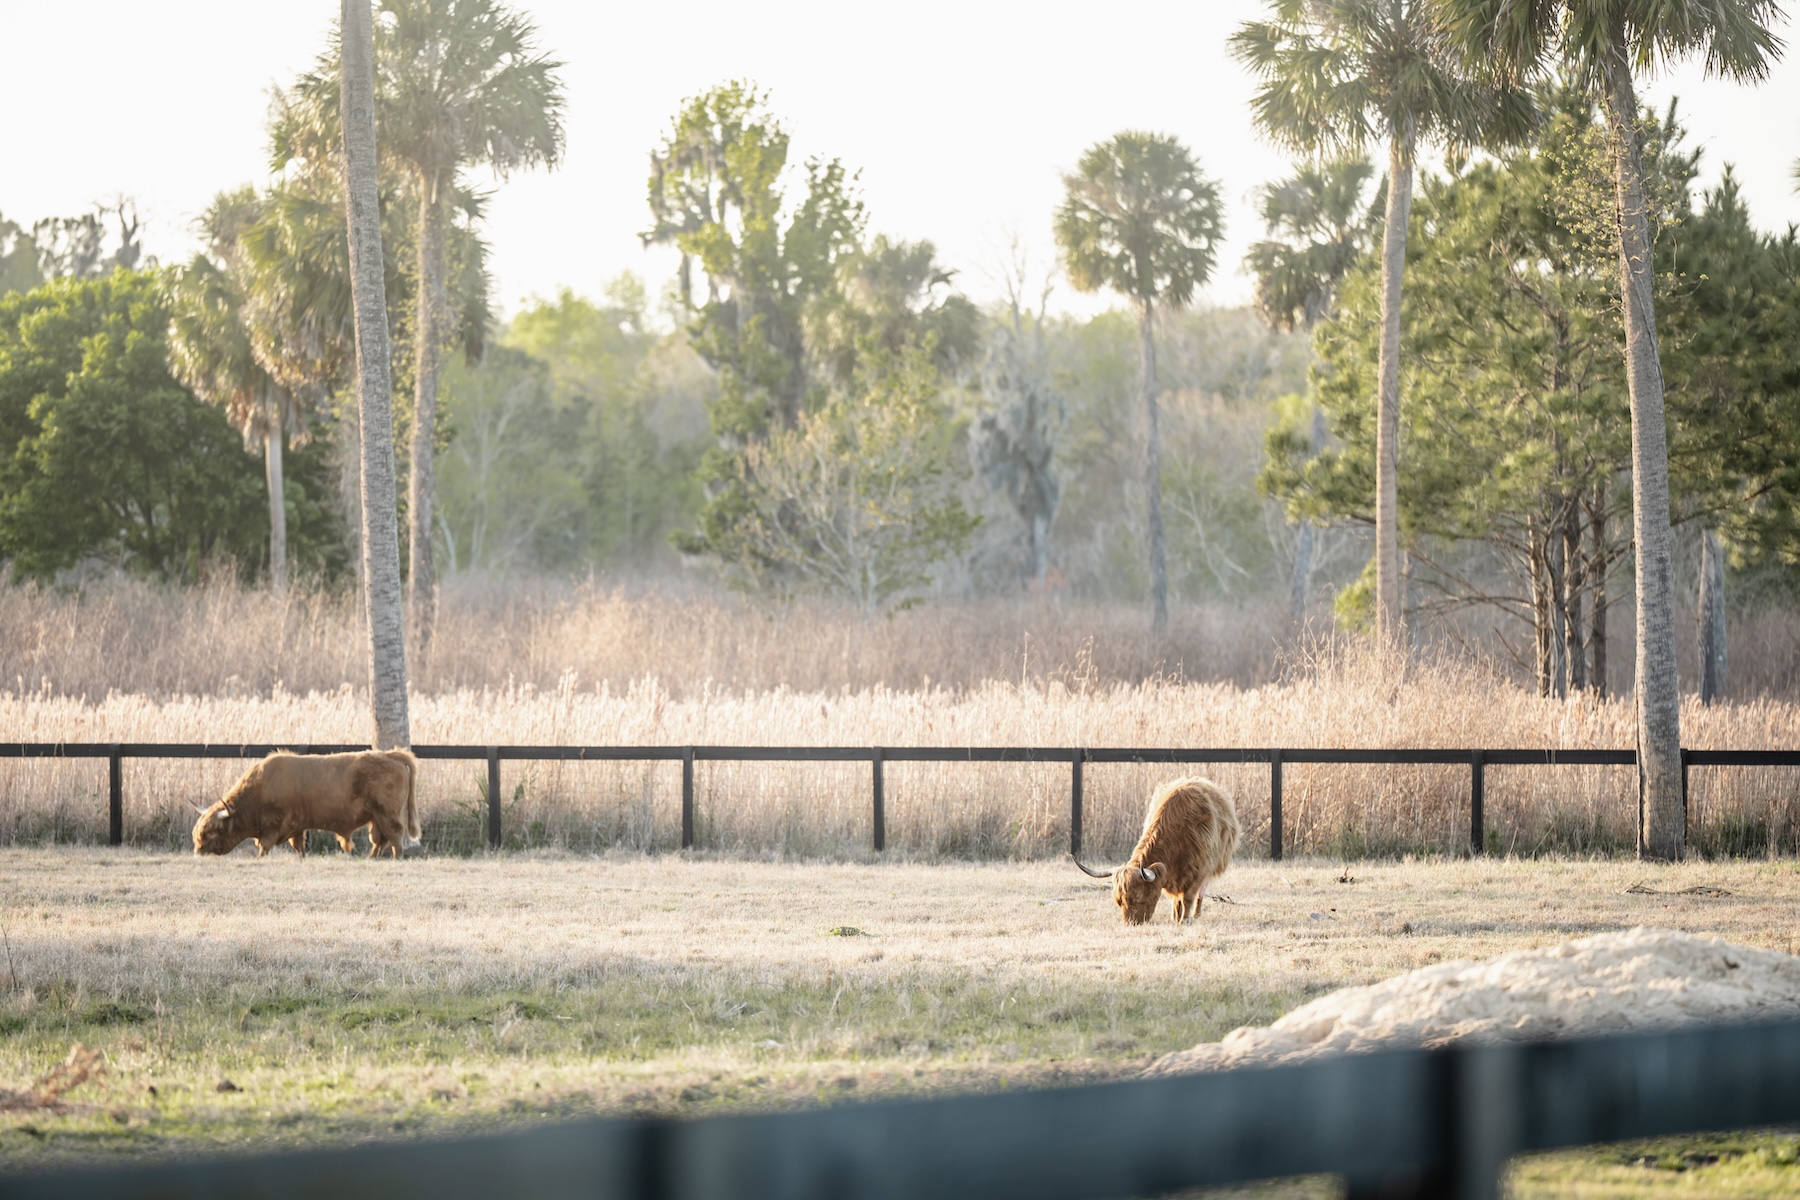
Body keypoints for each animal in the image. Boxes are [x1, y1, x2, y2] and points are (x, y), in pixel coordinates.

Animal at [192, 750, 420, 859]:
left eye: (211, 831)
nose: (198, 851)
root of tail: (390, 754)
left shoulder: (272, 826)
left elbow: (264, 846)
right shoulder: (297, 827)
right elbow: (299, 847)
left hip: (387, 813)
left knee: (395, 836)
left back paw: (396, 858)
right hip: (376, 817)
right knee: (380, 840)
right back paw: (371, 858)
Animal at [1072, 776, 1240, 924]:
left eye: (1138, 898)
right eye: (1119, 901)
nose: (1131, 923)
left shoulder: (1198, 871)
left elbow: (1188, 898)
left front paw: (1184, 920)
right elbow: (1176, 899)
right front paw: (1175, 917)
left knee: (1200, 892)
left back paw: (1196, 915)